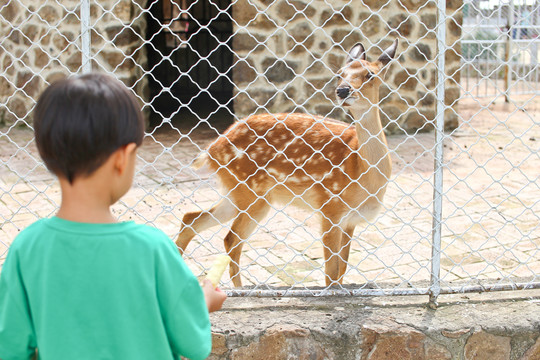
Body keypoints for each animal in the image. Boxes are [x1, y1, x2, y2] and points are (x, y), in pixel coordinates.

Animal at [176, 39, 396, 286]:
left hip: (236, 193)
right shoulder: (330, 206)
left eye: (370, 74)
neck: (361, 170)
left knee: (191, 219)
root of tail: (212, 150)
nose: (342, 90)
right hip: (253, 193)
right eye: (340, 74)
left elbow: (342, 270)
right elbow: (331, 273)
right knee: (231, 239)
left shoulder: (350, 220)